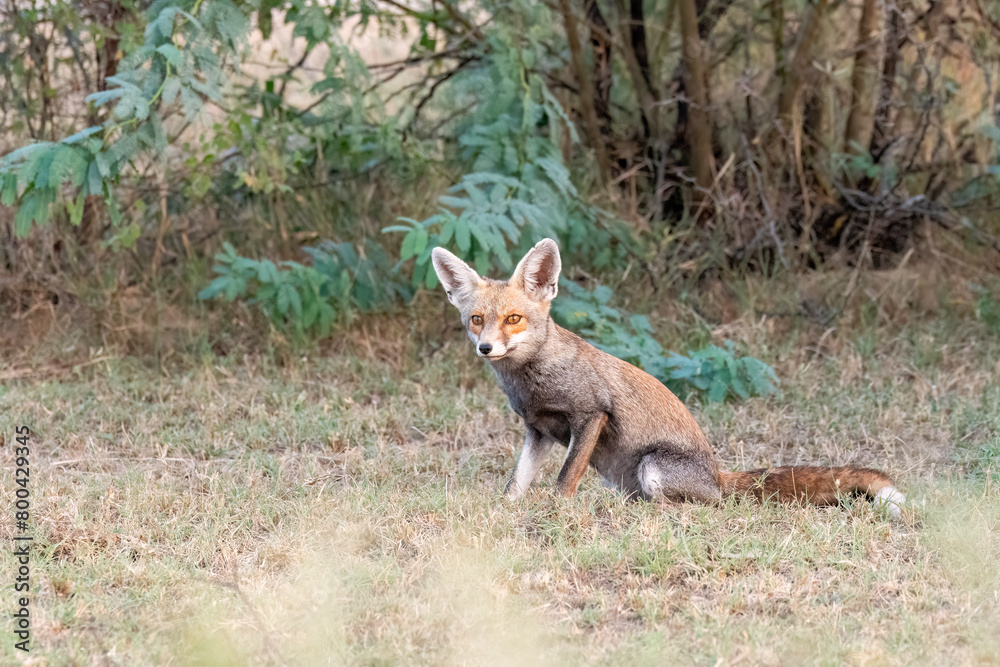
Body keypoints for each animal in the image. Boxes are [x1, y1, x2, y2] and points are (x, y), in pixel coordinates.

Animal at [430, 237, 908, 520]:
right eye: (476, 320)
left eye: (513, 319)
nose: (485, 348)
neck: (535, 381)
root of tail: (718, 478)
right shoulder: (538, 431)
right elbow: (516, 483)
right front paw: (507, 511)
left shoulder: (591, 415)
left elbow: (565, 480)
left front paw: (556, 513)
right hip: (626, 479)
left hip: (653, 467)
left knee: (682, 510)